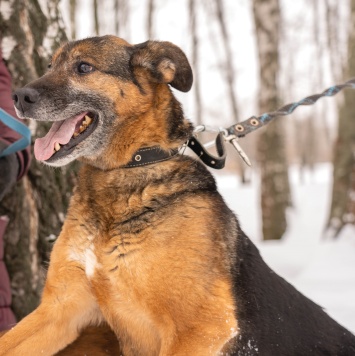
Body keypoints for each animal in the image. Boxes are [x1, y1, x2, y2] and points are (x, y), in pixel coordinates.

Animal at [0, 34, 354, 356]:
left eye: (83, 67)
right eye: (50, 66)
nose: (18, 96)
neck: (130, 168)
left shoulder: (203, 326)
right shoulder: (59, 310)